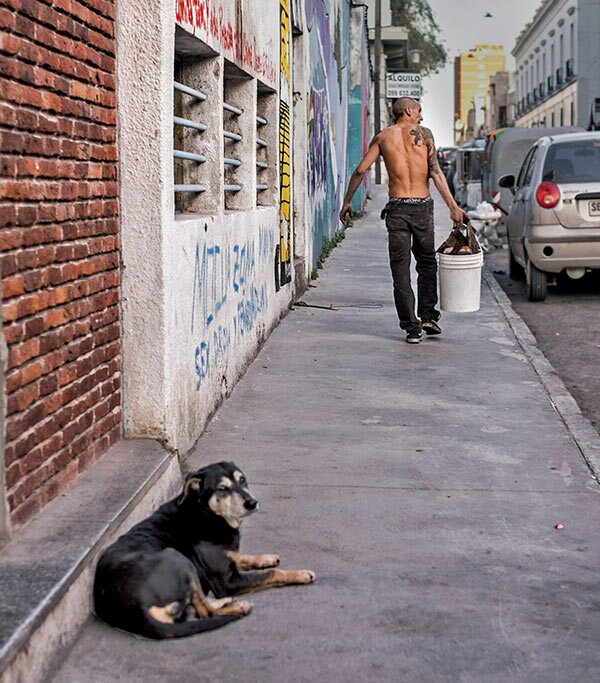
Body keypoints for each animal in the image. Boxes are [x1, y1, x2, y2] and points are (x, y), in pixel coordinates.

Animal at [92, 462, 314, 640]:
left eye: (242, 480)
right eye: (222, 488)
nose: (252, 502)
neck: (207, 513)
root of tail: (137, 611)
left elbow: (241, 557)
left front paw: (266, 558)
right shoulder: (227, 582)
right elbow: (271, 574)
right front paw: (300, 574)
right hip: (177, 558)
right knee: (205, 613)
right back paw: (238, 606)